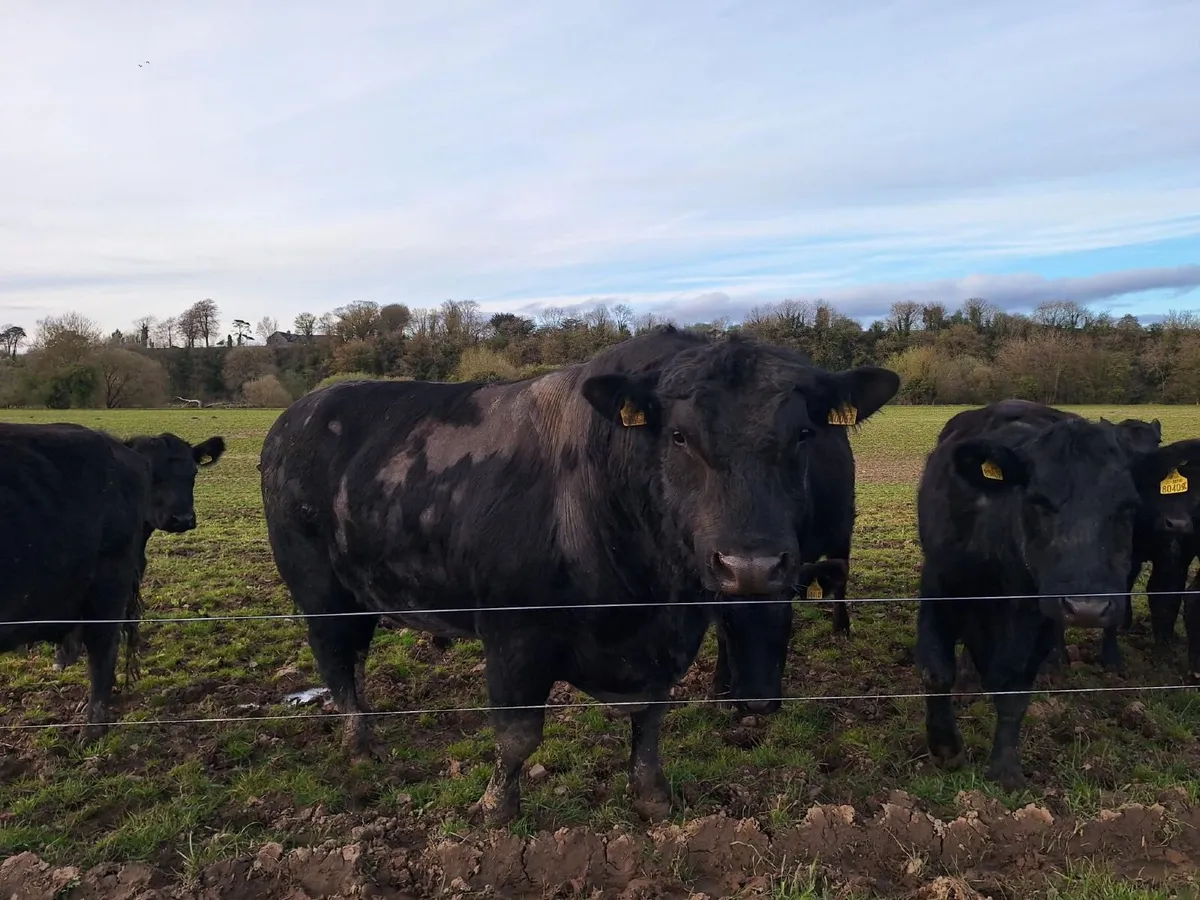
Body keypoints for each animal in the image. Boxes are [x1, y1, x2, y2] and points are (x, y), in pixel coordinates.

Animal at [259, 326, 900, 824]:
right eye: (679, 435)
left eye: (804, 433)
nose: (750, 565)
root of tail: (299, 413)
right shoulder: (513, 635)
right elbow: (518, 735)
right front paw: (497, 808)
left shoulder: (668, 639)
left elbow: (650, 718)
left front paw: (652, 797)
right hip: (319, 590)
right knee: (339, 662)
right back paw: (364, 744)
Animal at [913, 400, 1200, 791]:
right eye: (1038, 500)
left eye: (1128, 506)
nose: (1087, 608)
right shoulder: (939, 586)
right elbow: (937, 671)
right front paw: (946, 748)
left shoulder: (1039, 617)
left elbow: (1016, 688)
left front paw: (1005, 769)